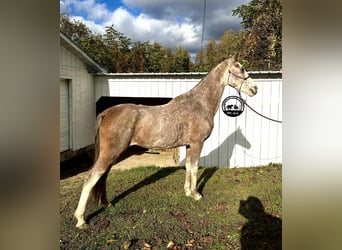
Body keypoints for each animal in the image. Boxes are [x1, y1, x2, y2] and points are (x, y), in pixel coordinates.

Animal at [74, 54, 256, 229]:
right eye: (241, 68)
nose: (255, 88)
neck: (199, 104)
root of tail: (107, 112)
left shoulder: (189, 145)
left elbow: (188, 167)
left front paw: (187, 192)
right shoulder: (197, 144)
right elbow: (195, 168)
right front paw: (196, 194)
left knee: (102, 177)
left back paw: (106, 203)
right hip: (110, 153)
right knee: (90, 178)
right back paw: (81, 220)